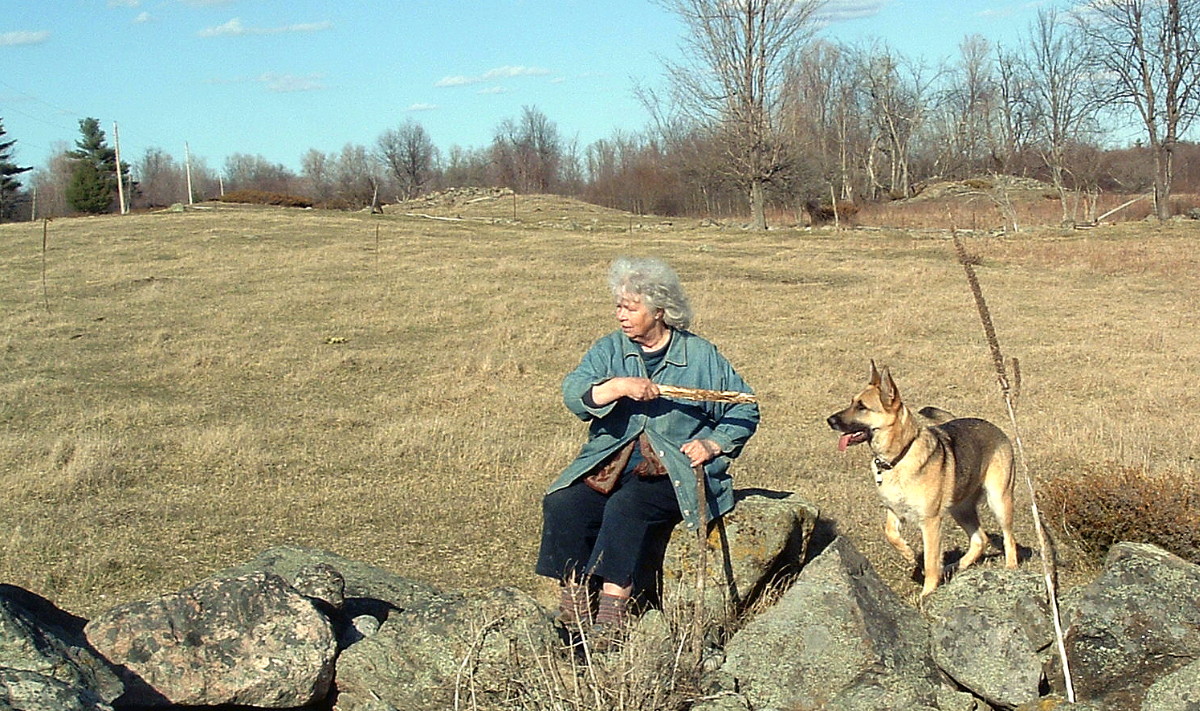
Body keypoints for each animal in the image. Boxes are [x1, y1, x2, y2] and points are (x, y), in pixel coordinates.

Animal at [830, 362, 1017, 598]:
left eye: (862, 407)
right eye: (852, 402)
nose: (829, 421)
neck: (899, 456)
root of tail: (994, 427)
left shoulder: (930, 522)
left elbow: (929, 561)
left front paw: (927, 593)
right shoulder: (893, 511)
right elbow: (890, 534)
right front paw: (908, 553)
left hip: (999, 501)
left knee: (1009, 538)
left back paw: (1010, 568)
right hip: (960, 509)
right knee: (979, 540)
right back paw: (953, 567)